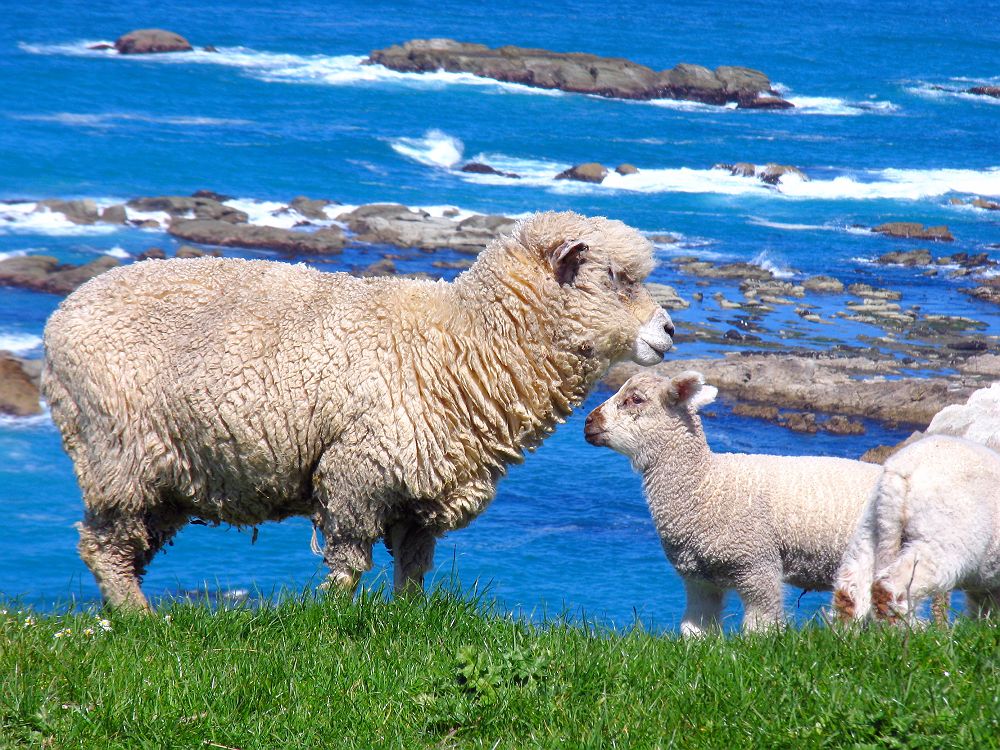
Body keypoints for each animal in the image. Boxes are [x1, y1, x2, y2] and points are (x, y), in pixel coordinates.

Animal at [41, 211, 674, 610]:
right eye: (615, 278)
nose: (669, 332)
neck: (465, 340)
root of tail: (61, 315)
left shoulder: (421, 493)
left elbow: (414, 568)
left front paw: (407, 618)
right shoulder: (357, 473)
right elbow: (347, 563)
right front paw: (325, 617)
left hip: (172, 473)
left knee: (125, 547)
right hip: (118, 453)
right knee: (102, 545)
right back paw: (138, 619)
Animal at [584, 370, 883, 635]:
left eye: (635, 399)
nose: (588, 422)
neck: (706, 485)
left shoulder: (758, 566)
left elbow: (760, 627)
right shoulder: (699, 578)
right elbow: (694, 629)